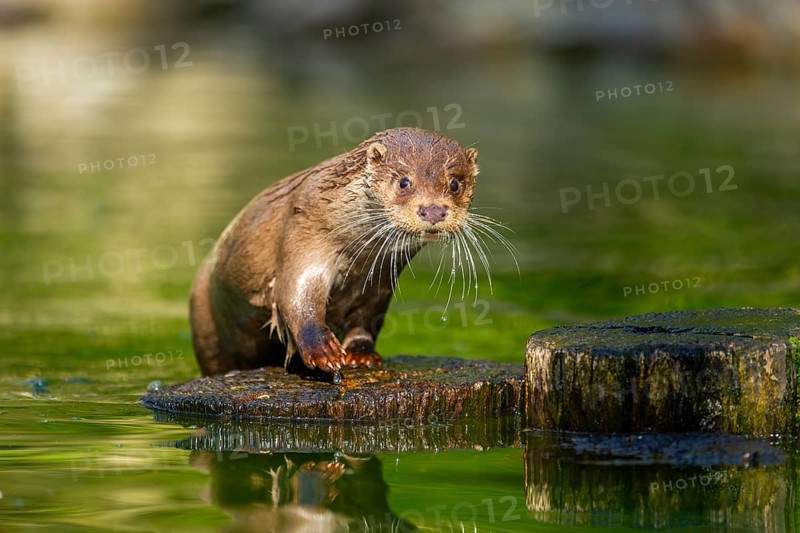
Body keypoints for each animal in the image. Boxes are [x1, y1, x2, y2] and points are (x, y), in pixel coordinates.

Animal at [190, 127, 481, 378]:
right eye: (404, 182)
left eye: (455, 184)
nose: (433, 210)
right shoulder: (304, 234)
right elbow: (295, 297)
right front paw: (323, 352)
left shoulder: (378, 280)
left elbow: (366, 318)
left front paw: (361, 354)